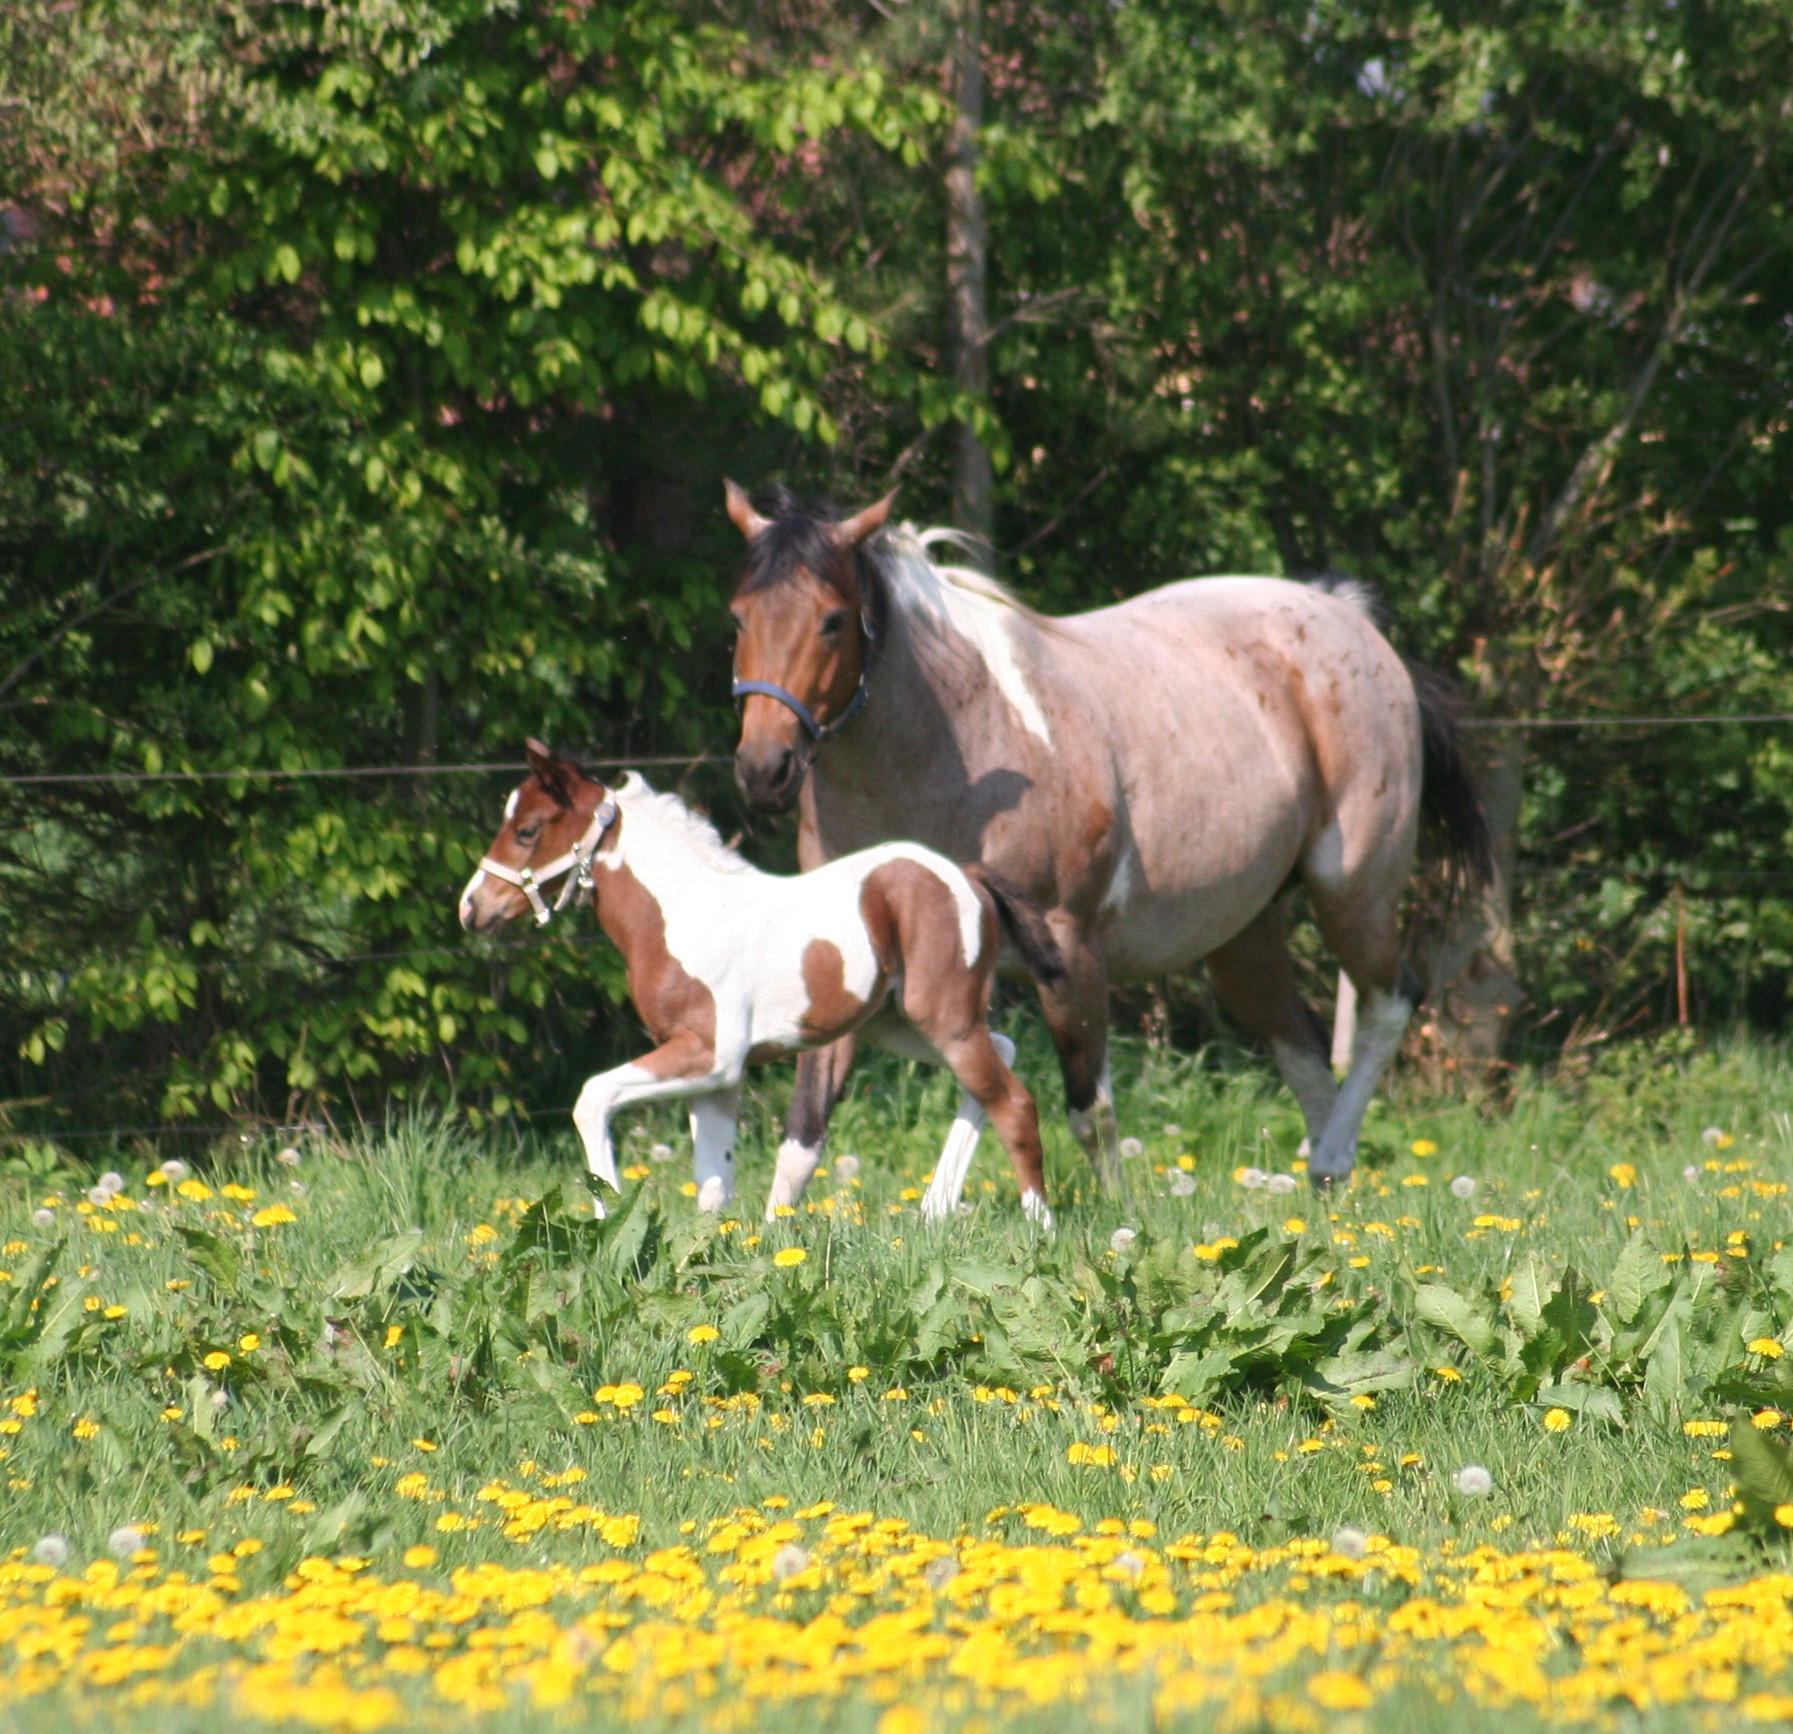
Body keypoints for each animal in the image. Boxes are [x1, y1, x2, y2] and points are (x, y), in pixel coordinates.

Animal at [458, 740, 1065, 1222]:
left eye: (527, 830)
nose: (472, 907)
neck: (683, 912)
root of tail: (970, 876)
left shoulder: (710, 1056)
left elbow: (593, 1098)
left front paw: (608, 1222)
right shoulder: (714, 1078)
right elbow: (712, 1186)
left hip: (943, 1019)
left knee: (1014, 1102)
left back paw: (1039, 1228)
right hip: (896, 1025)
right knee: (999, 1059)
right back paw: (935, 1210)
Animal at [724, 484, 1492, 1201]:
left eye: (831, 620)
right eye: (738, 616)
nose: (764, 768)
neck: (951, 750)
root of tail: (1346, 614)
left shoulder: (1066, 948)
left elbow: (1087, 1109)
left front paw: (1111, 1219)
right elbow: (808, 1127)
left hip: (1352, 894)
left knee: (1389, 1004)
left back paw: (1331, 1159)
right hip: (1241, 941)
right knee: (1300, 1048)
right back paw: (1323, 1184)